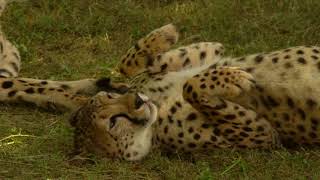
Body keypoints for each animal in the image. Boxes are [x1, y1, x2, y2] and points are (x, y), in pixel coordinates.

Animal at [69, 23, 320, 160]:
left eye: (110, 97)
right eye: (112, 123)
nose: (138, 101)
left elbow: (129, 64)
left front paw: (167, 36)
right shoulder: (264, 136)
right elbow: (191, 86)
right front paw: (235, 79)